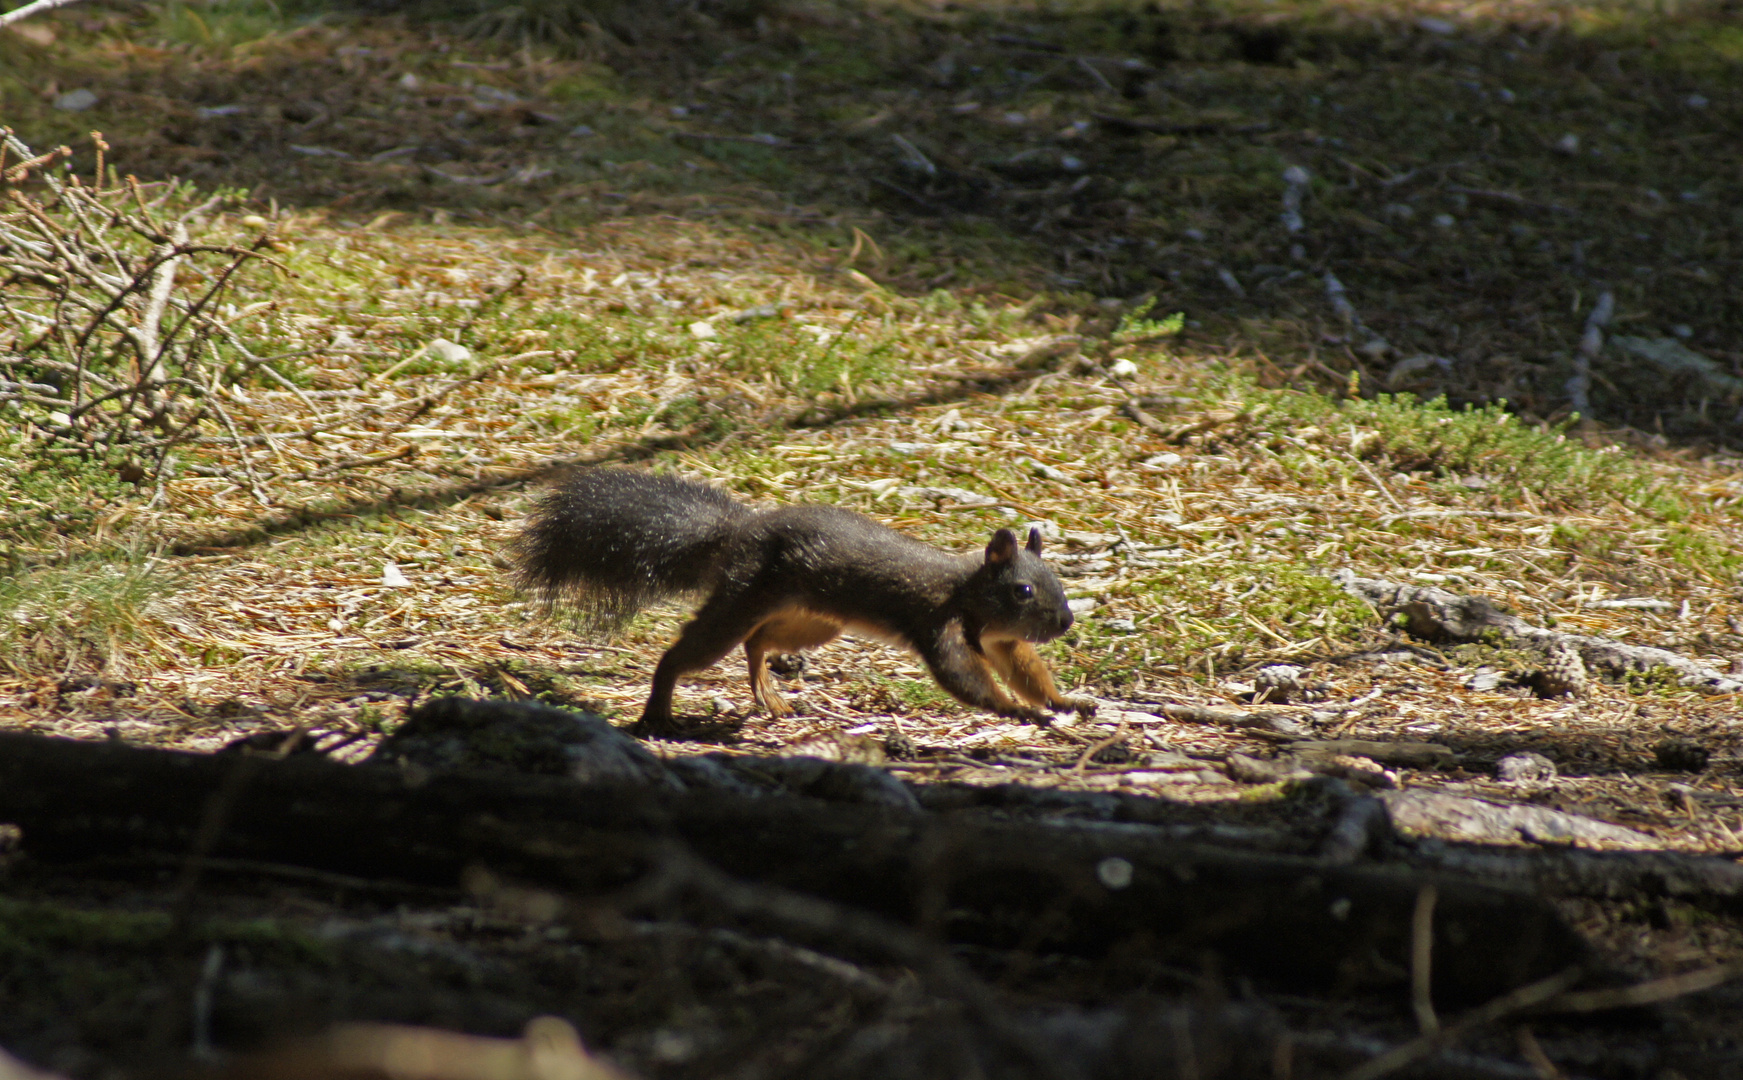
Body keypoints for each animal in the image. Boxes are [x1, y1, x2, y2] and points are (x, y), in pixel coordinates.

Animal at [508, 466, 1094, 728]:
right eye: (1022, 590)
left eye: (1059, 582)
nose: (1065, 622)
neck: (968, 595)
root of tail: (740, 532)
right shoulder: (937, 624)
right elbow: (965, 677)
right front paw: (1017, 709)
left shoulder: (1002, 642)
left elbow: (1026, 668)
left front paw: (1065, 701)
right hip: (742, 597)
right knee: (686, 653)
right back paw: (658, 713)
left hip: (817, 621)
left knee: (758, 643)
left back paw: (768, 692)